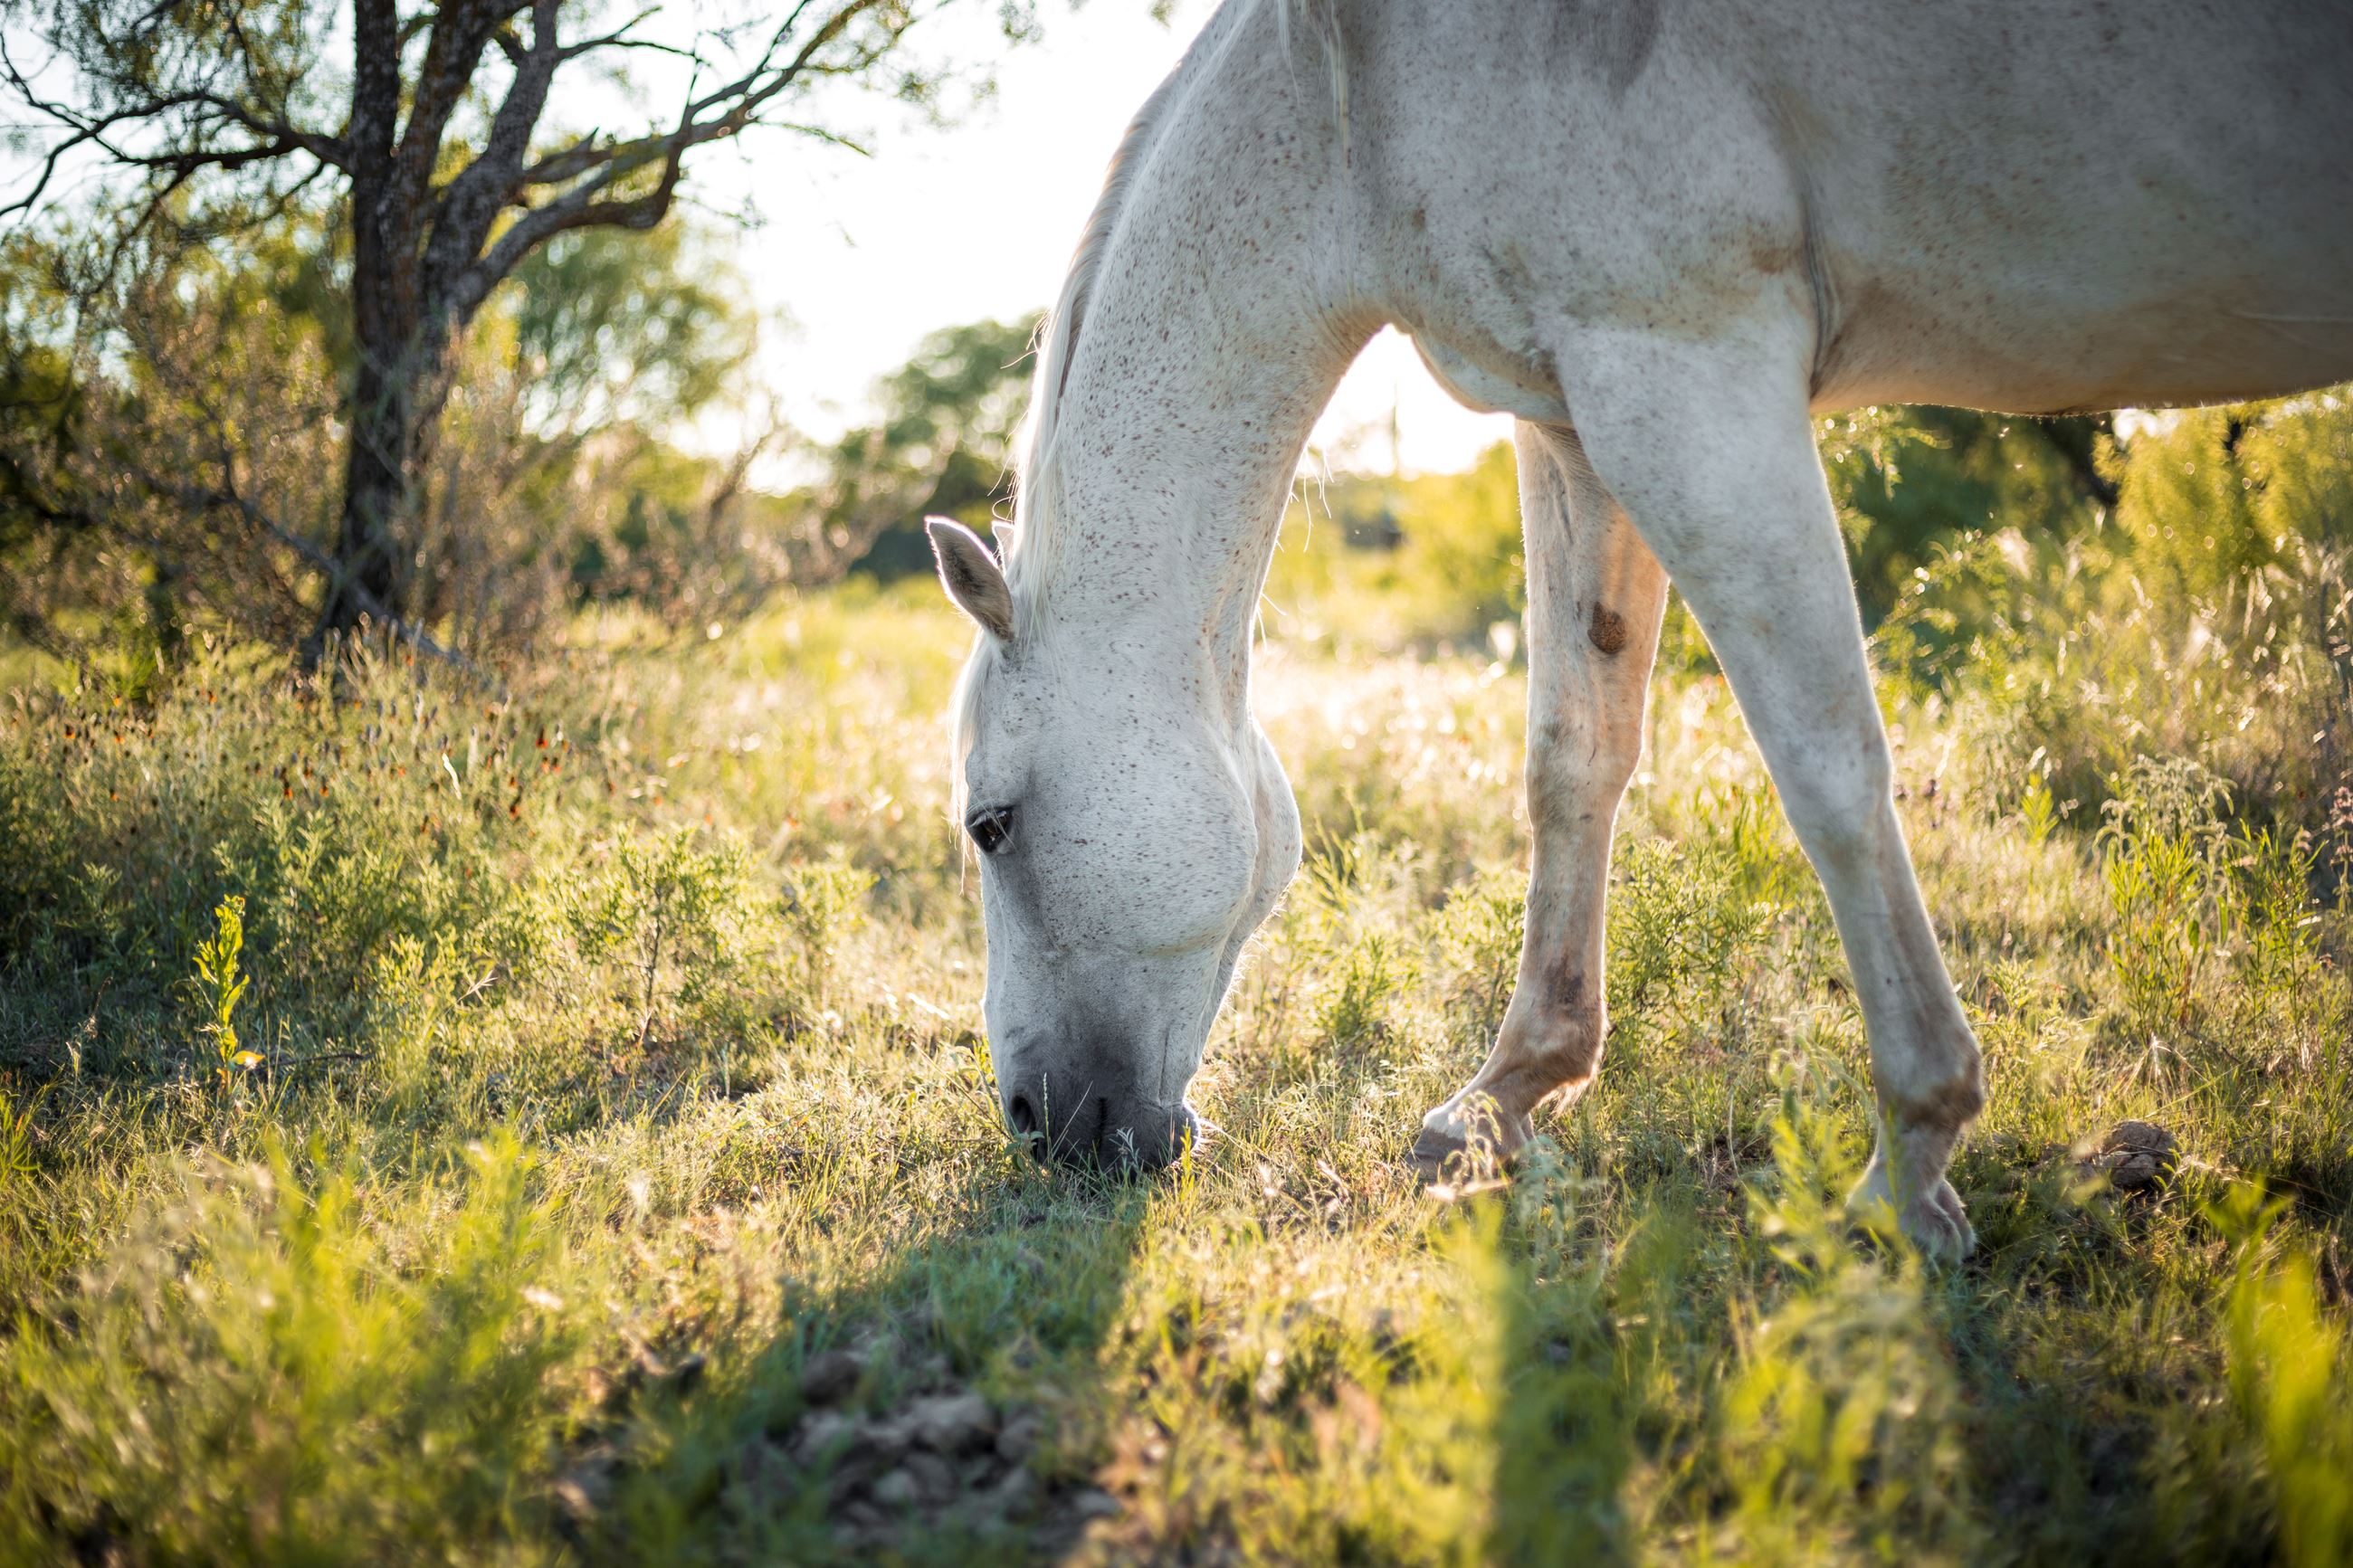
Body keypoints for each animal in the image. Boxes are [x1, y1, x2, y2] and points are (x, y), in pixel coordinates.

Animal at [924, 0, 2353, 1255]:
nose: (1037, 1125)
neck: (1353, 91)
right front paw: (1503, 1098)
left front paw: (1912, 1170)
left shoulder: (1691, 374)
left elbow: (1828, 770)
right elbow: (1574, 757)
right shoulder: (1577, 412)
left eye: (990, 824)